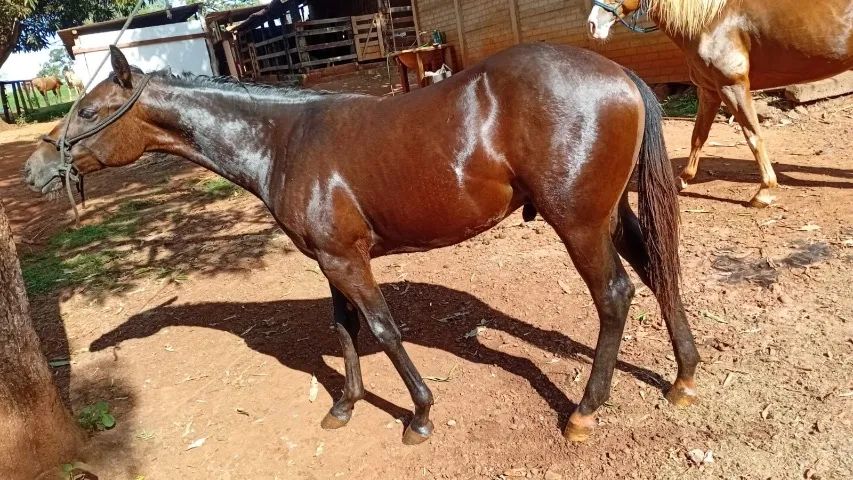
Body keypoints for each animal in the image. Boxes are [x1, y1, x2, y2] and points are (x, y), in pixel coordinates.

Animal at [24, 45, 699, 444]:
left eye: (89, 113)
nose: (35, 170)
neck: (283, 139)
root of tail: (619, 74)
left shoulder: (348, 260)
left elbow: (382, 329)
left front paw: (419, 414)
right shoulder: (331, 259)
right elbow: (344, 328)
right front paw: (344, 406)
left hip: (579, 224)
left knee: (615, 295)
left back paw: (585, 411)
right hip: (611, 217)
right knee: (659, 271)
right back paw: (683, 377)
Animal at [588, 0, 853, 207]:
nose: (593, 25)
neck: (712, 21)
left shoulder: (732, 87)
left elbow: (753, 136)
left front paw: (764, 192)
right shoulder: (708, 91)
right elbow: (698, 136)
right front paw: (682, 179)